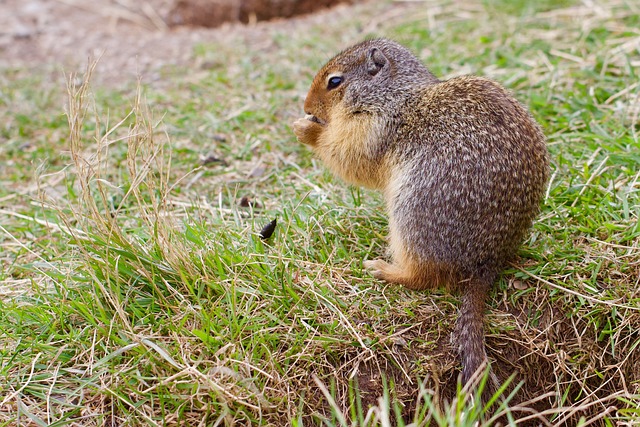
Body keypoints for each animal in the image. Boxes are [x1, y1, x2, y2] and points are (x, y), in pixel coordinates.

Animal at [296, 39, 552, 388]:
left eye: (334, 81)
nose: (306, 105)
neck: (393, 96)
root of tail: (489, 262)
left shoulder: (372, 127)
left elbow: (349, 155)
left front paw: (305, 129)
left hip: (412, 212)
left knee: (426, 277)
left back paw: (383, 270)